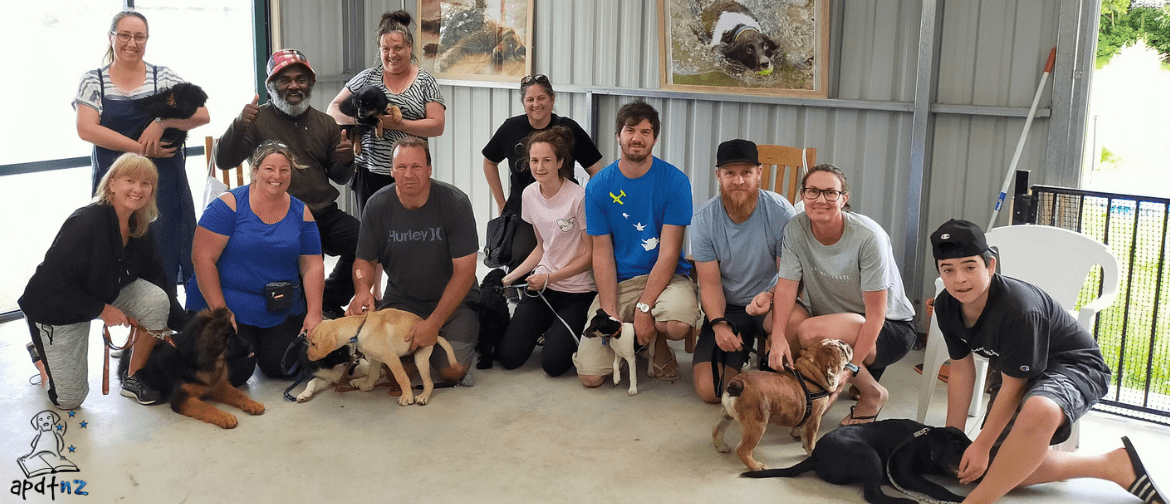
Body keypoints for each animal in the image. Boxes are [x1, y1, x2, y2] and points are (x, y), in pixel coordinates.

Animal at [117, 308, 264, 430]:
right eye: (231, 337)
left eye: (235, 333)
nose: (253, 348)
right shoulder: (181, 398)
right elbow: (205, 406)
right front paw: (225, 417)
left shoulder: (217, 386)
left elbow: (238, 393)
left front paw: (252, 403)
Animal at [306, 308, 456, 406]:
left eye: (313, 344)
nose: (307, 355)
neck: (359, 328)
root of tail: (435, 336)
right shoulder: (375, 358)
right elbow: (373, 373)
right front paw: (367, 385)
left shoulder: (391, 357)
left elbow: (402, 378)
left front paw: (407, 396)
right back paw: (360, 381)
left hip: (420, 357)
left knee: (429, 382)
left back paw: (423, 396)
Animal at [744, 418, 973, 504]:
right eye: (957, 448)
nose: (969, 464)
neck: (924, 443)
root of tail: (815, 455)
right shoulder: (905, 475)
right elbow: (936, 488)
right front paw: (959, 497)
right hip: (870, 456)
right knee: (872, 495)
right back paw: (905, 501)